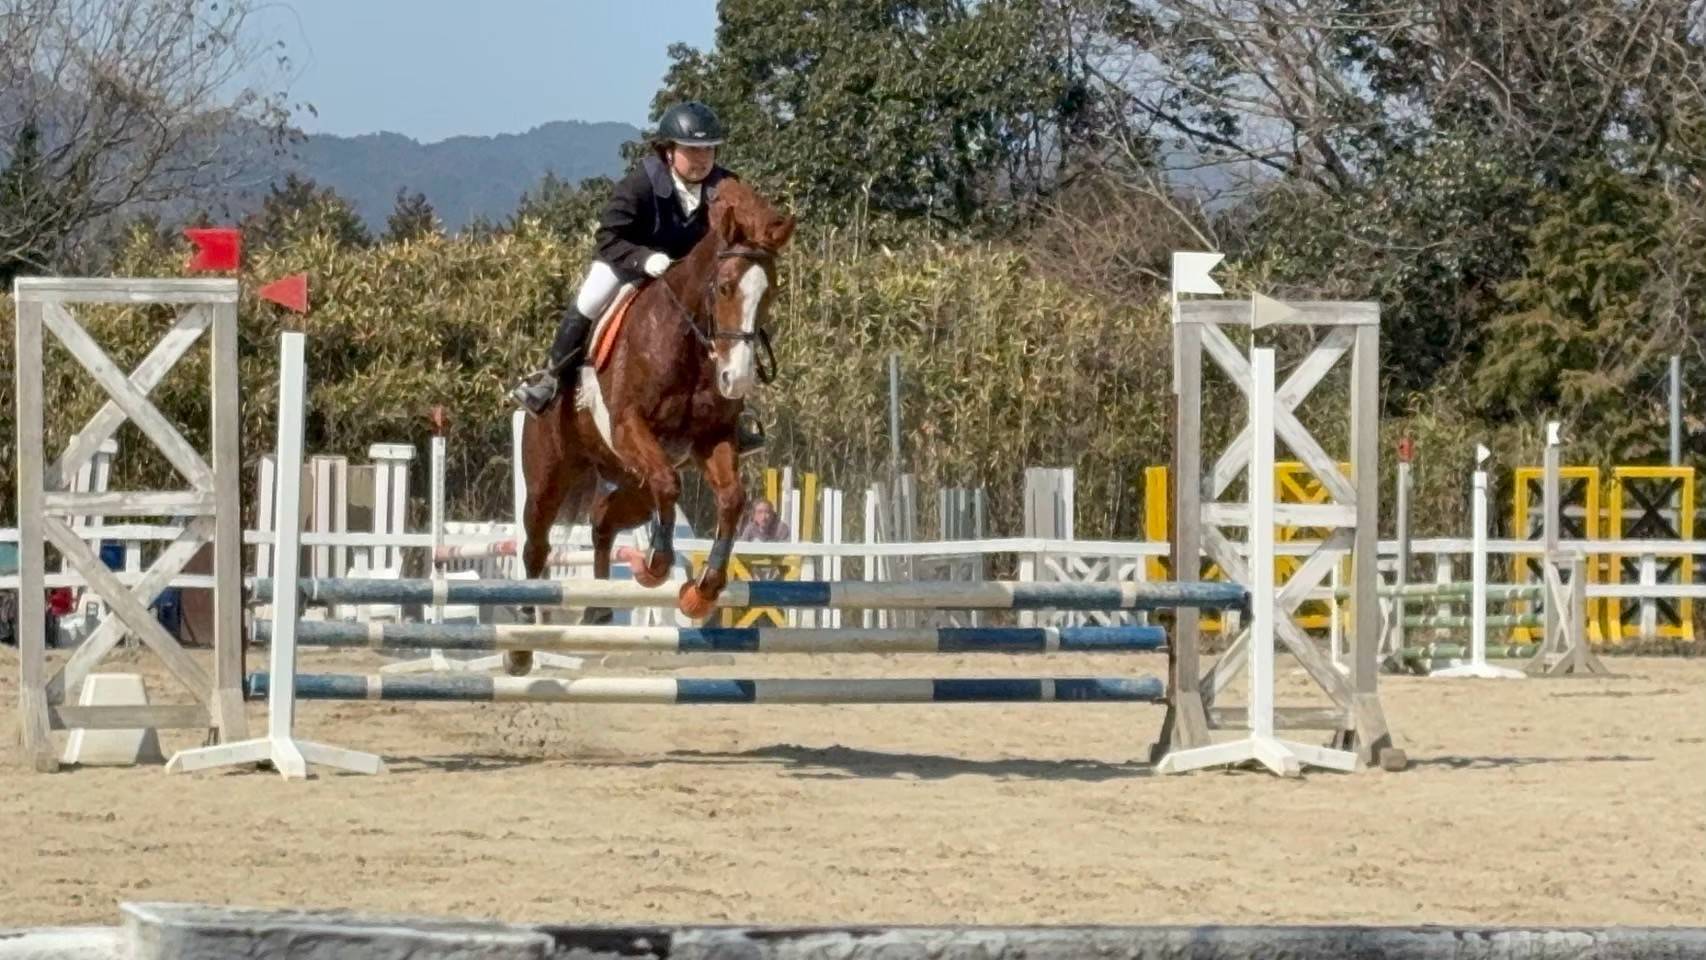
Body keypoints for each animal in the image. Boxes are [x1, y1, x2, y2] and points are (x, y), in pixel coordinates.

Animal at [507, 178, 796, 675]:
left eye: (771, 293)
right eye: (723, 288)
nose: (735, 379)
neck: (689, 343)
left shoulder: (711, 439)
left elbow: (731, 500)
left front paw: (702, 591)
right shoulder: (630, 427)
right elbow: (669, 483)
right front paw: (658, 564)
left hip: (628, 483)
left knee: (602, 521)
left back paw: (599, 609)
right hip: (549, 476)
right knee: (536, 545)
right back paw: (525, 637)